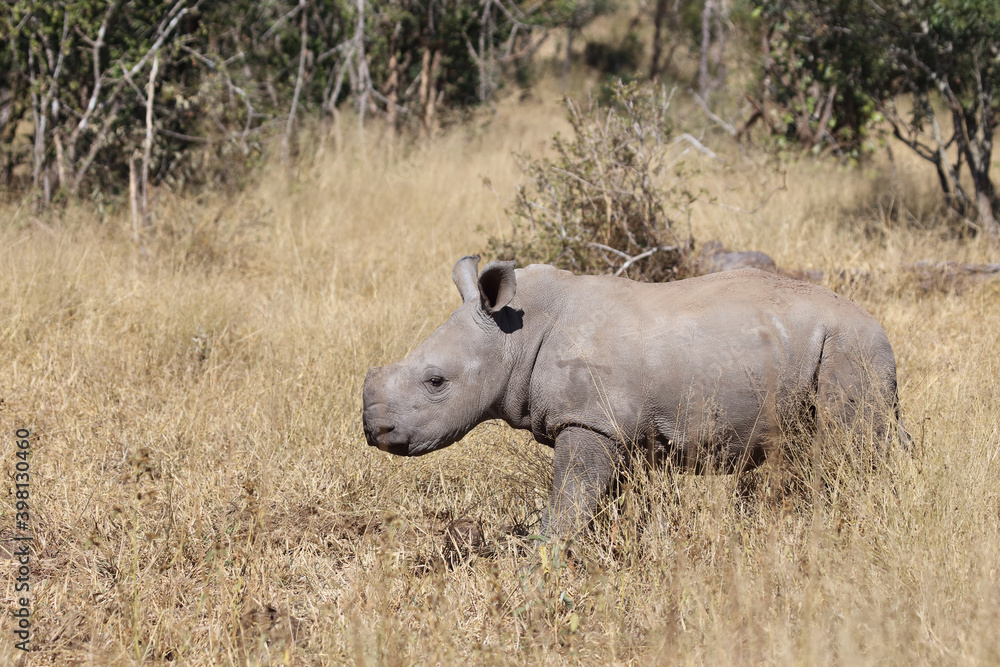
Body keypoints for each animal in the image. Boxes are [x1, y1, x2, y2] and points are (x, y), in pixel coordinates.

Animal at [362, 256, 907, 535]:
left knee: (853, 443)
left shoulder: (589, 420)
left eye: (436, 382)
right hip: (832, 346)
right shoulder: (611, 428)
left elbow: (570, 497)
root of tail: (877, 324)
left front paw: (542, 559)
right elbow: (605, 497)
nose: (373, 430)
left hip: (850, 345)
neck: (514, 333)